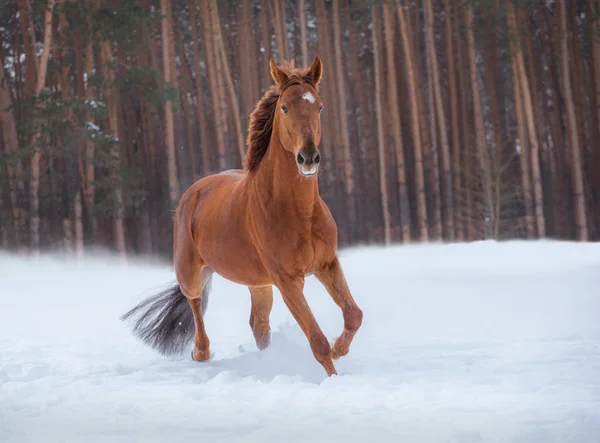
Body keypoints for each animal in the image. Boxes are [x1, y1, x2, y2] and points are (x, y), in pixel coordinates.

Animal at [123, 53, 360, 376]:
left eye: (319, 106)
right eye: (285, 107)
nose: (308, 158)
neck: (299, 213)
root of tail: (194, 192)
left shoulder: (327, 265)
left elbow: (353, 315)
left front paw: (340, 348)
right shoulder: (288, 281)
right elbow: (317, 341)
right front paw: (334, 375)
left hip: (258, 284)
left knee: (258, 326)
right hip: (192, 273)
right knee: (195, 302)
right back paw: (201, 351)